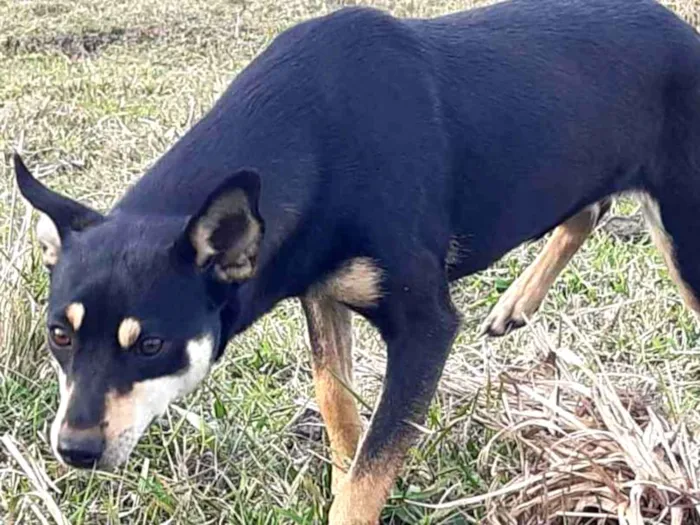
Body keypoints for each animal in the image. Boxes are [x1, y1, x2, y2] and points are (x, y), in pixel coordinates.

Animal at [13, 2, 700, 520]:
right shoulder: (321, 294)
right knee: (589, 209)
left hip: (683, 229)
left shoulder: (425, 327)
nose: (74, 450)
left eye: (152, 346)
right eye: (58, 336)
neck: (316, 137)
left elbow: (372, 465)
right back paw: (515, 303)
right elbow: (341, 414)